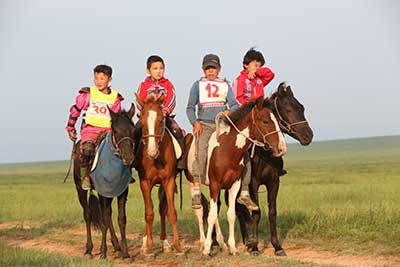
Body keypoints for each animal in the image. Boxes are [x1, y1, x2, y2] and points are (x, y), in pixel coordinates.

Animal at [71, 104, 134, 260]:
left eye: (132, 129)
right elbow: (104, 220)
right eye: (116, 131)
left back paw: (116, 246)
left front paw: (125, 253)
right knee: (88, 214)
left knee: (108, 215)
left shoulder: (122, 191)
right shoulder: (103, 193)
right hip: (80, 190)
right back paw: (89, 249)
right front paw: (104, 253)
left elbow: (121, 219)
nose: (128, 158)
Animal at [135, 93, 184, 258]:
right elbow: (148, 214)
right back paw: (144, 244)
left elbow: (171, 212)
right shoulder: (145, 182)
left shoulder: (169, 181)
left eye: (161, 120)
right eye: (141, 121)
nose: (151, 152)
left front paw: (178, 247)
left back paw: (165, 243)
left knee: (162, 209)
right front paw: (149, 248)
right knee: (149, 209)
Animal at [185, 97, 288, 258]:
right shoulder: (215, 184)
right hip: (193, 181)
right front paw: (207, 249)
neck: (227, 150)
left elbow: (231, 214)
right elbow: (211, 215)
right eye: (265, 121)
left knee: (215, 209)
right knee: (200, 210)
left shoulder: (234, 185)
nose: (282, 148)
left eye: (277, 120)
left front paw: (232, 248)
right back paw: (203, 243)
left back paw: (221, 243)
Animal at [236, 82, 314, 258]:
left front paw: (277, 246)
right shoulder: (253, 183)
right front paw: (255, 247)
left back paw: (246, 241)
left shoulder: (274, 182)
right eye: (289, 110)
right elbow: (256, 213)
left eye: (302, 108)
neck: (265, 152)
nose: (309, 136)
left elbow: (272, 213)